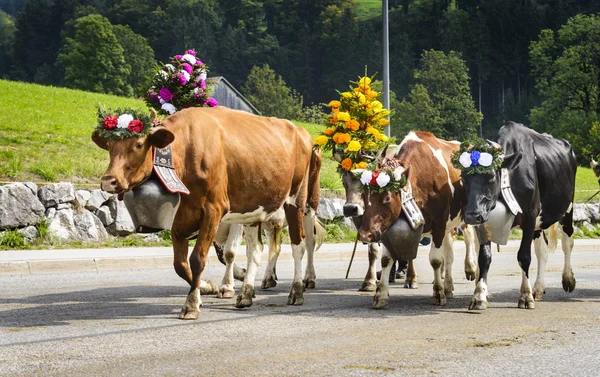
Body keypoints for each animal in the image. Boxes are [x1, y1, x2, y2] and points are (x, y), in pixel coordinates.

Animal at [92, 106, 322, 320]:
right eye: (110, 146)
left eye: (139, 144)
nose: (108, 181)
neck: (185, 152)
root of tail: (299, 130)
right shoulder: (180, 218)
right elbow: (180, 264)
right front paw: (206, 286)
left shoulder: (214, 210)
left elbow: (198, 259)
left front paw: (192, 304)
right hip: (253, 208)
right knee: (256, 250)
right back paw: (246, 294)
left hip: (298, 200)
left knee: (300, 245)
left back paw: (297, 290)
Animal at [356, 131, 474, 306]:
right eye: (364, 195)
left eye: (387, 198)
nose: (365, 235)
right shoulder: (388, 227)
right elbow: (386, 259)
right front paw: (381, 294)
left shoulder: (439, 223)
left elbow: (436, 260)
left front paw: (438, 293)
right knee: (449, 254)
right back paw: (448, 287)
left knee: (470, 238)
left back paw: (470, 268)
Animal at [460, 120, 576, 308]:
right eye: (464, 177)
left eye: (491, 176)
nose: (471, 215)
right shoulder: (485, 220)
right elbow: (484, 257)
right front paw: (479, 295)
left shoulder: (529, 215)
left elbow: (524, 256)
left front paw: (525, 296)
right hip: (539, 222)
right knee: (542, 250)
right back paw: (538, 288)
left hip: (567, 207)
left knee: (568, 242)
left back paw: (568, 280)